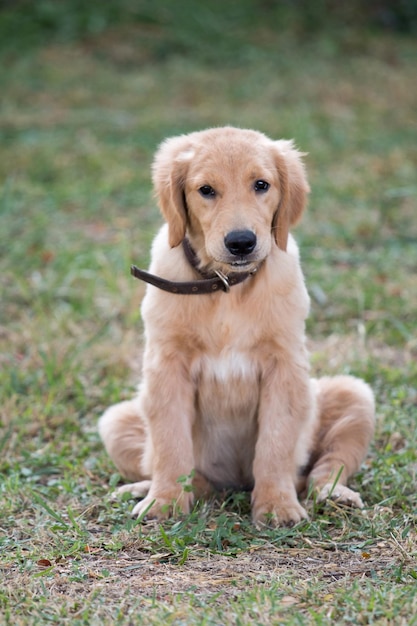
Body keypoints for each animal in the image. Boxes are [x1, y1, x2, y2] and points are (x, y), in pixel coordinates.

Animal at [99, 127, 376, 528]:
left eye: (261, 185)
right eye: (206, 190)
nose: (241, 242)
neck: (226, 285)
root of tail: (234, 483)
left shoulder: (285, 366)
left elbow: (276, 443)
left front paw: (277, 505)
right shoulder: (166, 366)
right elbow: (170, 442)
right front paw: (165, 501)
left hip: (354, 396)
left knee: (322, 470)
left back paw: (335, 494)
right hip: (116, 420)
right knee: (188, 474)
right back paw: (149, 489)